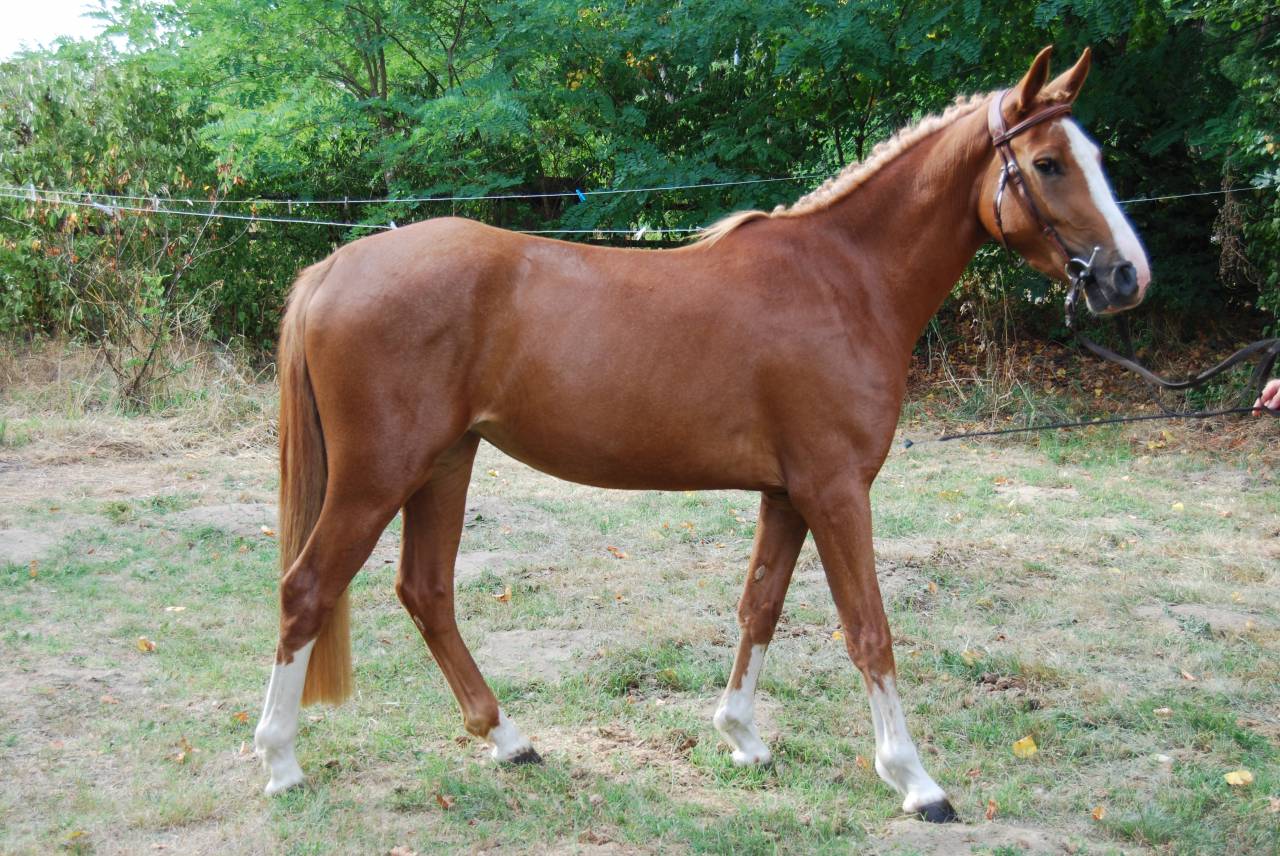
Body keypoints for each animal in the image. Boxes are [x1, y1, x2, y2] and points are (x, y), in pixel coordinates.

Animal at [253, 45, 1150, 822]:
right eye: (1049, 163)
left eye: (1094, 154)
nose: (1126, 276)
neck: (843, 280)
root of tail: (332, 268)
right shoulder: (836, 491)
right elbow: (868, 629)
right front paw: (915, 780)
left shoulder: (788, 495)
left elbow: (760, 606)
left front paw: (742, 736)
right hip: (379, 473)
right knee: (307, 590)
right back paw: (280, 760)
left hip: (443, 462)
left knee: (426, 592)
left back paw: (510, 741)